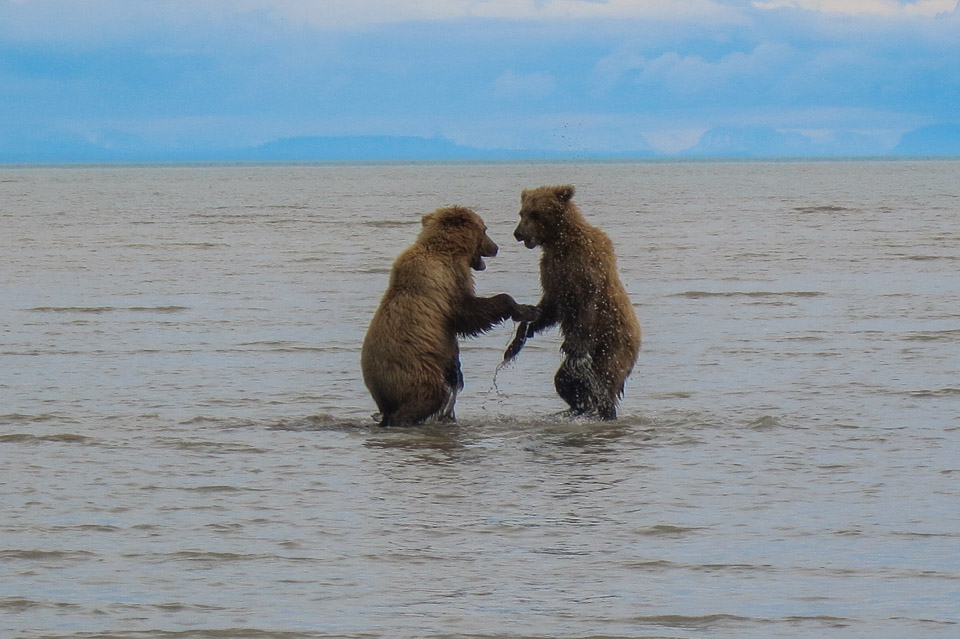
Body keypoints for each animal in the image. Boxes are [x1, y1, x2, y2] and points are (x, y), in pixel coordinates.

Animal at [362, 205, 540, 428]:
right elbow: (468, 314)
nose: (496, 247)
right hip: (412, 371)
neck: (449, 252)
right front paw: (525, 308)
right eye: (485, 230)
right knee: (427, 396)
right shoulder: (446, 282)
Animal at [506, 185, 640, 422]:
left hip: (614, 345)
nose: (518, 233)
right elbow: (550, 307)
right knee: (564, 380)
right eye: (522, 213)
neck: (558, 241)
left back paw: (603, 408)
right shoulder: (552, 273)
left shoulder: (584, 266)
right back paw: (576, 407)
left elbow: (587, 301)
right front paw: (518, 338)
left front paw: (573, 342)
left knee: (606, 379)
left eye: (535, 213)